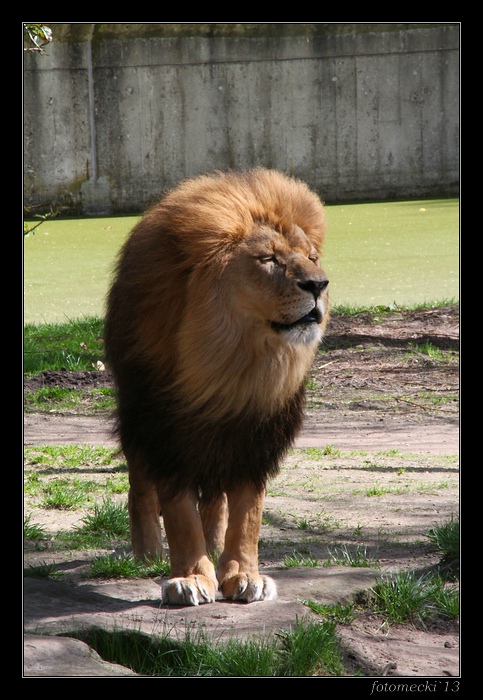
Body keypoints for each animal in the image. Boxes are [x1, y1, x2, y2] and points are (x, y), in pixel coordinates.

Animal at [105, 167, 328, 604]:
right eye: (269, 259)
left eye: (311, 258)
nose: (319, 284)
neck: (232, 365)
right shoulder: (165, 432)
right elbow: (178, 513)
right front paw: (190, 577)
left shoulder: (254, 435)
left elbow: (247, 514)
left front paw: (243, 573)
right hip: (135, 413)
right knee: (140, 485)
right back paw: (146, 553)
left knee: (214, 500)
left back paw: (214, 542)